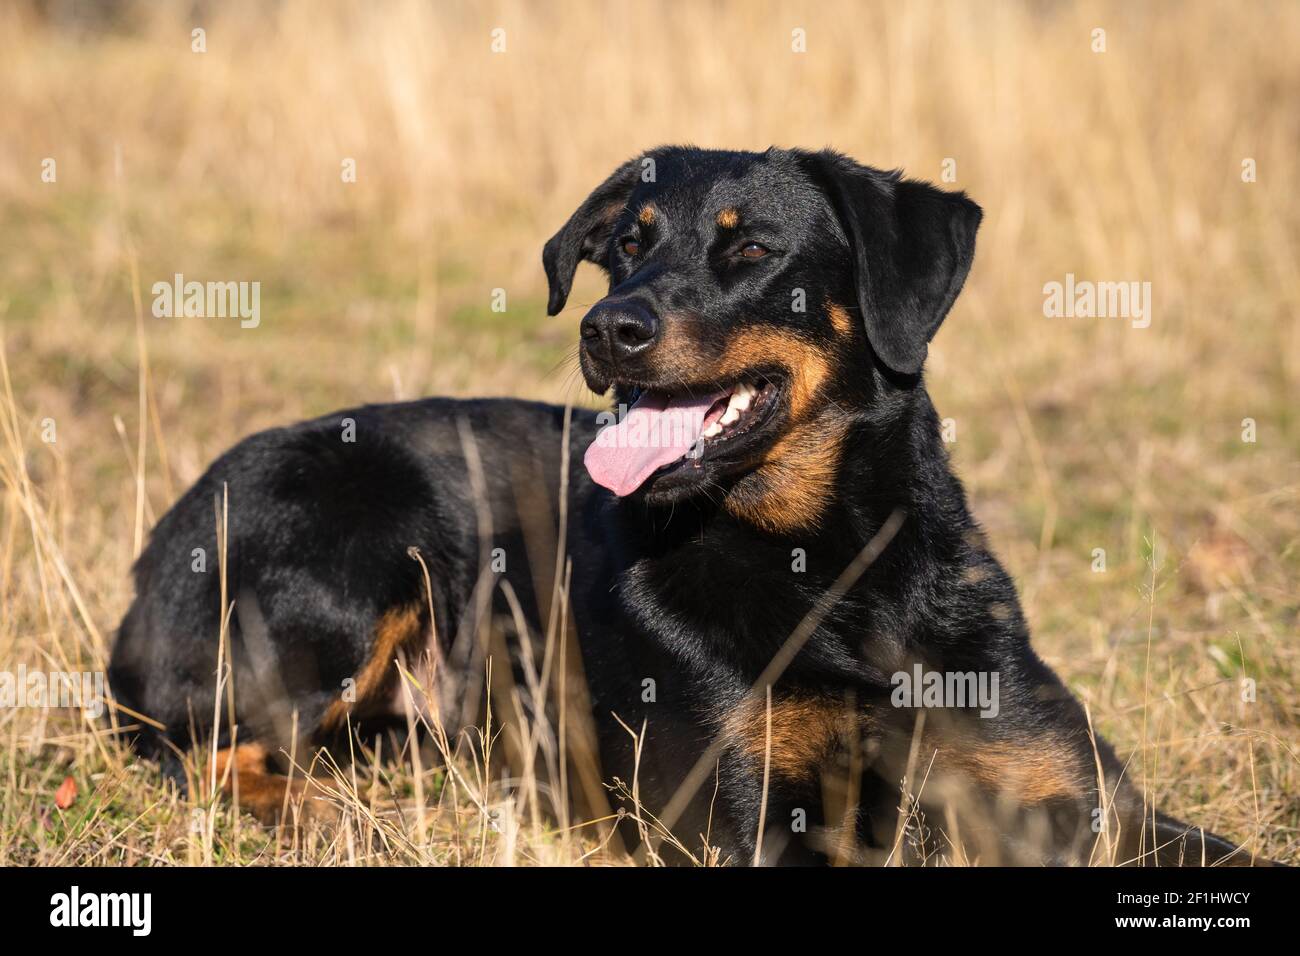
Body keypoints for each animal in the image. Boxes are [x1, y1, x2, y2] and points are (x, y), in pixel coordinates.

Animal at [109, 147, 1248, 868]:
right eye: (624, 244)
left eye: (752, 250)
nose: (608, 326)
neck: (834, 565)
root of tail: (161, 541)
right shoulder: (747, 817)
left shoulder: (1086, 798)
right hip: (351, 565)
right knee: (201, 748)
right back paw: (328, 818)